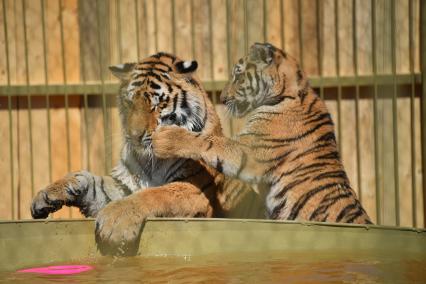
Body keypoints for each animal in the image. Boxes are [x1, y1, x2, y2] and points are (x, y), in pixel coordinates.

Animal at [31, 51, 258, 253]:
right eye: (129, 102)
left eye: (158, 104)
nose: (133, 135)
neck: (151, 161)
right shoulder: (123, 185)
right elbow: (92, 182)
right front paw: (48, 194)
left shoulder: (195, 188)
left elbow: (156, 193)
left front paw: (115, 221)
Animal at [151, 42, 372, 224]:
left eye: (238, 76)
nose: (222, 98)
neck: (289, 92)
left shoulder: (250, 152)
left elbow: (212, 142)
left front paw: (166, 138)